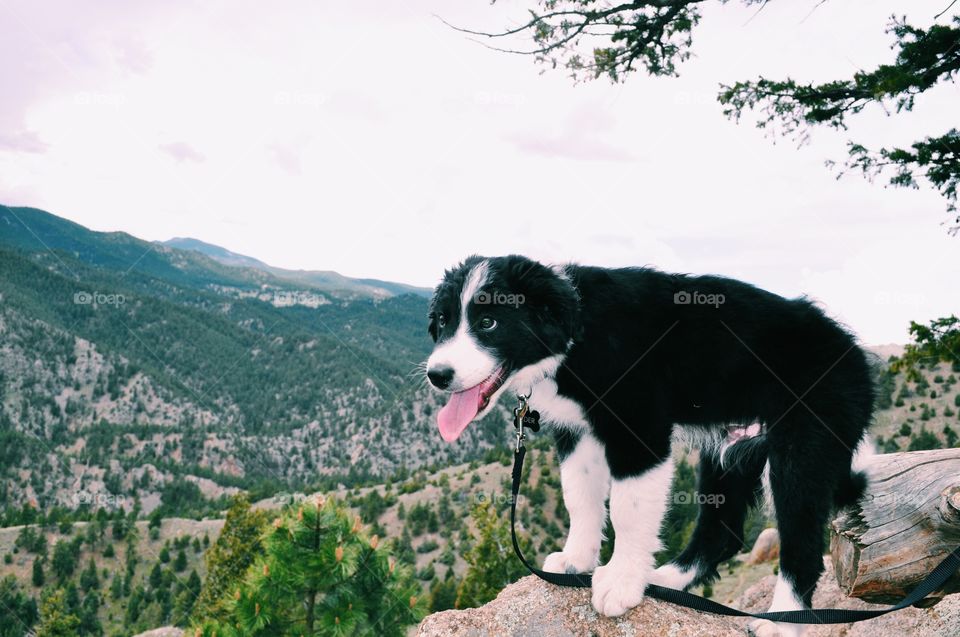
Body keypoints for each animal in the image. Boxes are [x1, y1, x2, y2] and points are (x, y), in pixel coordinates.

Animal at [424, 255, 872, 632]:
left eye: (488, 323)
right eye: (443, 323)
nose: (437, 375)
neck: (579, 330)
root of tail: (854, 350)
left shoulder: (640, 429)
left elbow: (627, 509)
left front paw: (620, 583)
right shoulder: (576, 432)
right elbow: (579, 497)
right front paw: (577, 560)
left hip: (802, 449)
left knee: (802, 541)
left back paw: (783, 620)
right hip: (728, 447)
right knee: (722, 530)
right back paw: (667, 578)